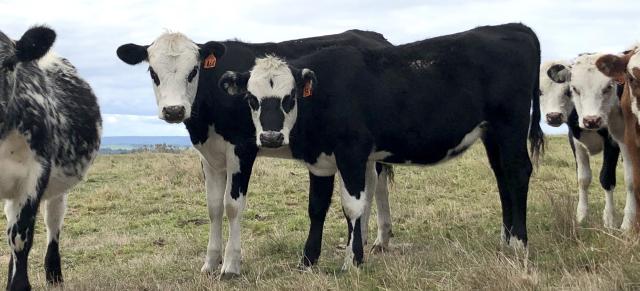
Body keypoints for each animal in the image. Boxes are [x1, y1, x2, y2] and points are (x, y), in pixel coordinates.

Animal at [0, 26, 102, 290]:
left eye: (8, 64)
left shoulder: (34, 176)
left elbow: (20, 238)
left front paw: (19, 285)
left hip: (57, 188)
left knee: (52, 223)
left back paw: (54, 275)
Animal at [117, 29, 392, 278]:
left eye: (193, 71)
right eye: (153, 73)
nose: (174, 110)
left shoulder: (242, 149)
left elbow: (232, 205)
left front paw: (230, 266)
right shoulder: (210, 157)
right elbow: (213, 207)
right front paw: (210, 263)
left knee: (373, 185)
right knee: (373, 185)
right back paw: (371, 239)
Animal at [219, 23, 540, 272]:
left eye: (290, 97)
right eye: (252, 99)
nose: (271, 137)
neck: (326, 92)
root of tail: (515, 28)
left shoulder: (351, 152)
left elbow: (353, 206)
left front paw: (352, 262)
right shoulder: (320, 161)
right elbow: (316, 207)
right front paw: (308, 261)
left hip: (510, 126)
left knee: (517, 172)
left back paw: (519, 243)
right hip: (493, 133)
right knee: (502, 177)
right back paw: (506, 240)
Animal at [548, 53, 636, 229]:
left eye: (608, 87)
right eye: (574, 89)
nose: (591, 120)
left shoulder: (615, 141)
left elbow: (608, 178)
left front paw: (610, 220)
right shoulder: (574, 140)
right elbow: (583, 179)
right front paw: (581, 216)